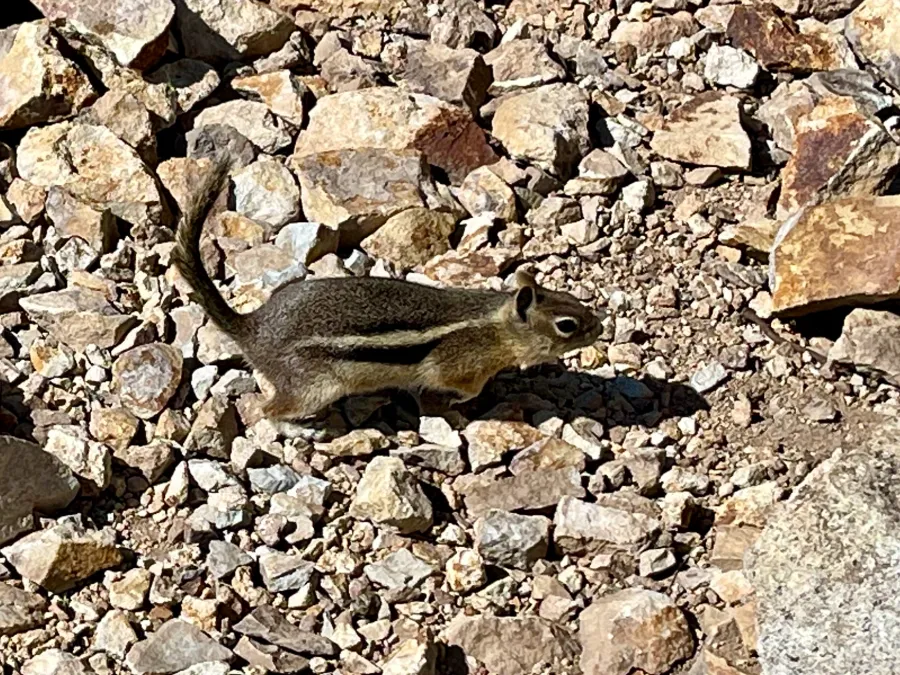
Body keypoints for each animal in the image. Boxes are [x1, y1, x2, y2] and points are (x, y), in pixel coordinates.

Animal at [172, 165, 605, 421]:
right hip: (314, 387)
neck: (497, 327)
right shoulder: (458, 366)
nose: (600, 329)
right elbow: (462, 387)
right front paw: (459, 402)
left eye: (576, 300)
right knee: (270, 410)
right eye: (567, 325)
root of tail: (253, 328)